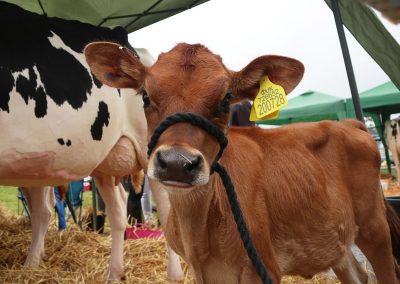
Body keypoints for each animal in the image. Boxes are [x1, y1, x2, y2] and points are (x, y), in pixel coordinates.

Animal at [0, 2, 184, 280]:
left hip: (150, 150)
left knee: (163, 205)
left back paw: (174, 275)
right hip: (100, 161)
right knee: (116, 210)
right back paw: (112, 273)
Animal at [84, 42, 400, 284]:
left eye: (226, 99)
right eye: (145, 95)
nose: (176, 162)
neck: (200, 234)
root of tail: (349, 123)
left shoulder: (262, 268)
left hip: (375, 230)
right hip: (336, 242)